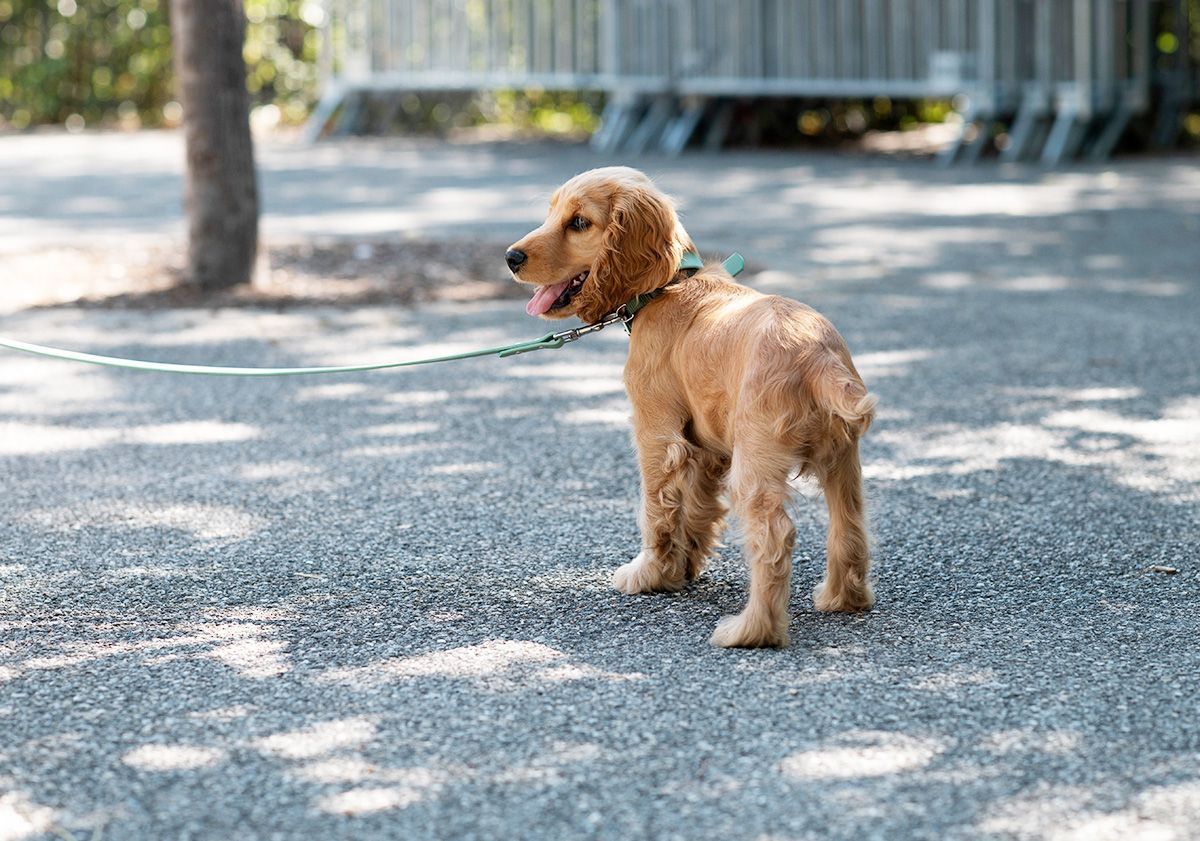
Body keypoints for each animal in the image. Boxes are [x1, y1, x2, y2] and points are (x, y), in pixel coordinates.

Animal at [501, 166, 878, 647]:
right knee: (850, 524)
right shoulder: (707, 447)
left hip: (757, 460)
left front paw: (648, 575)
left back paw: (751, 630)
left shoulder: (657, 435)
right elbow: (697, 508)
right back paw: (843, 598)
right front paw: (681, 569)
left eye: (579, 222)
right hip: (841, 457)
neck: (667, 287)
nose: (510, 257)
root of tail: (818, 357)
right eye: (552, 213)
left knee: (774, 537)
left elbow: (656, 511)